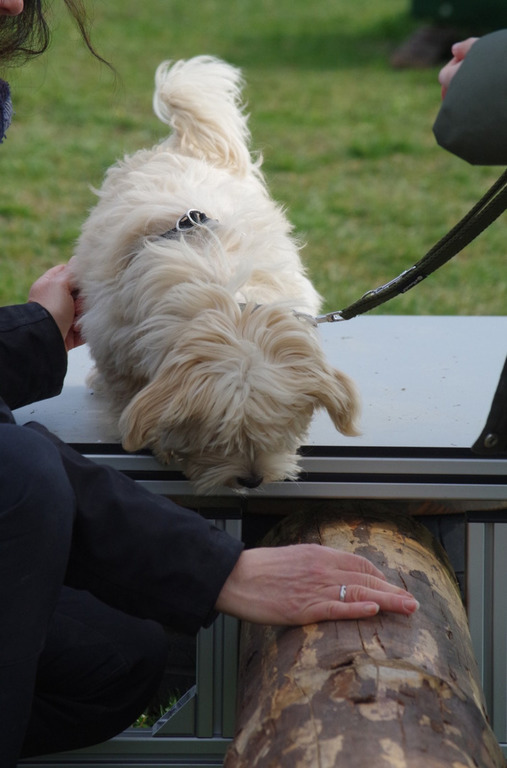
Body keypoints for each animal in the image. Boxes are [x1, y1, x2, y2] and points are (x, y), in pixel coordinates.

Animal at [70, 55, 359, 494]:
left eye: (280, 430)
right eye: (216, 438)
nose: (252, 480)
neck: (229, 310)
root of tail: (190, 144)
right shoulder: (115, 340)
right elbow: (127, 392)